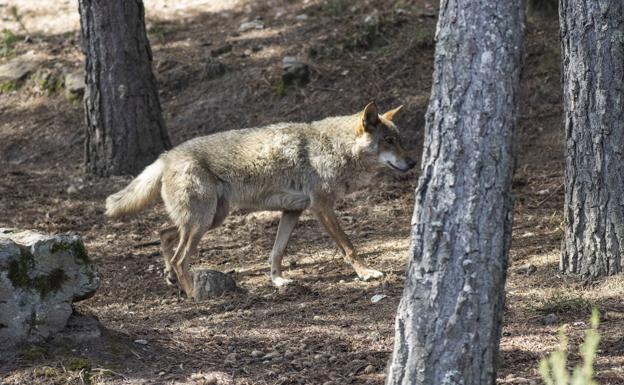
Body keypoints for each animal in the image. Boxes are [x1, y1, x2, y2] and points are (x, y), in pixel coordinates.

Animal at [105, 103, 416, 300]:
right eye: (389, 141)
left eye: (400, 140)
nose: (413, 162)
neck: (334, 147)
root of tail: (167, 155)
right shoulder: (322, 208)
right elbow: (349, 247)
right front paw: (366, 273)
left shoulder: (292, 211)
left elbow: (277, 252)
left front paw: (278, 280)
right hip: (203, 223)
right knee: (181, 257)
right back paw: (193, 294)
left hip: (210, 219)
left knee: (164, 234)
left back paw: (170, 277)